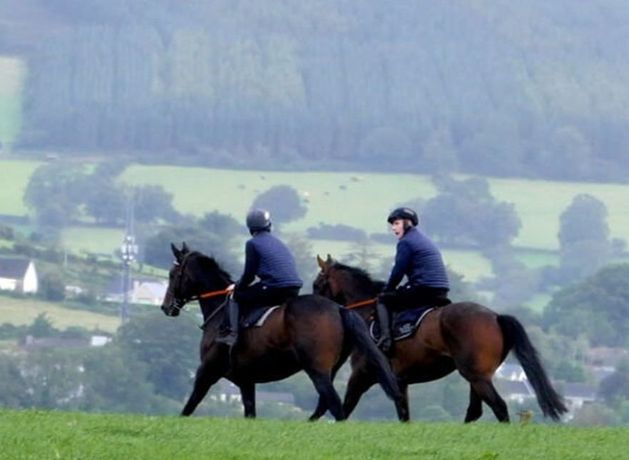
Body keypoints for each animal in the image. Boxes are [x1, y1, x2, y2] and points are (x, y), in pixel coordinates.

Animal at [158, 244, 402, 420]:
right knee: (328, 405)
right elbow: (250, 412)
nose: (166, 307)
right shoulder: (246, 381)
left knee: (334, 406)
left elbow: (190, 405)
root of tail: (338, 308)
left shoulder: (207, 370)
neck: (219, 312)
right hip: (329, 370)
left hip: (317, 370)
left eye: (173, 274)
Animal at [312, 253, 568, 422]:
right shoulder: (399, 382)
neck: (368, 313)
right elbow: (403, 415)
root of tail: (496, 317)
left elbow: (345, 408)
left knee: (499, 407)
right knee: (475, 411)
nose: (314, 306)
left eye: (317, 284)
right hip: (478, 376)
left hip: (476, 376)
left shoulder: (361, 375)